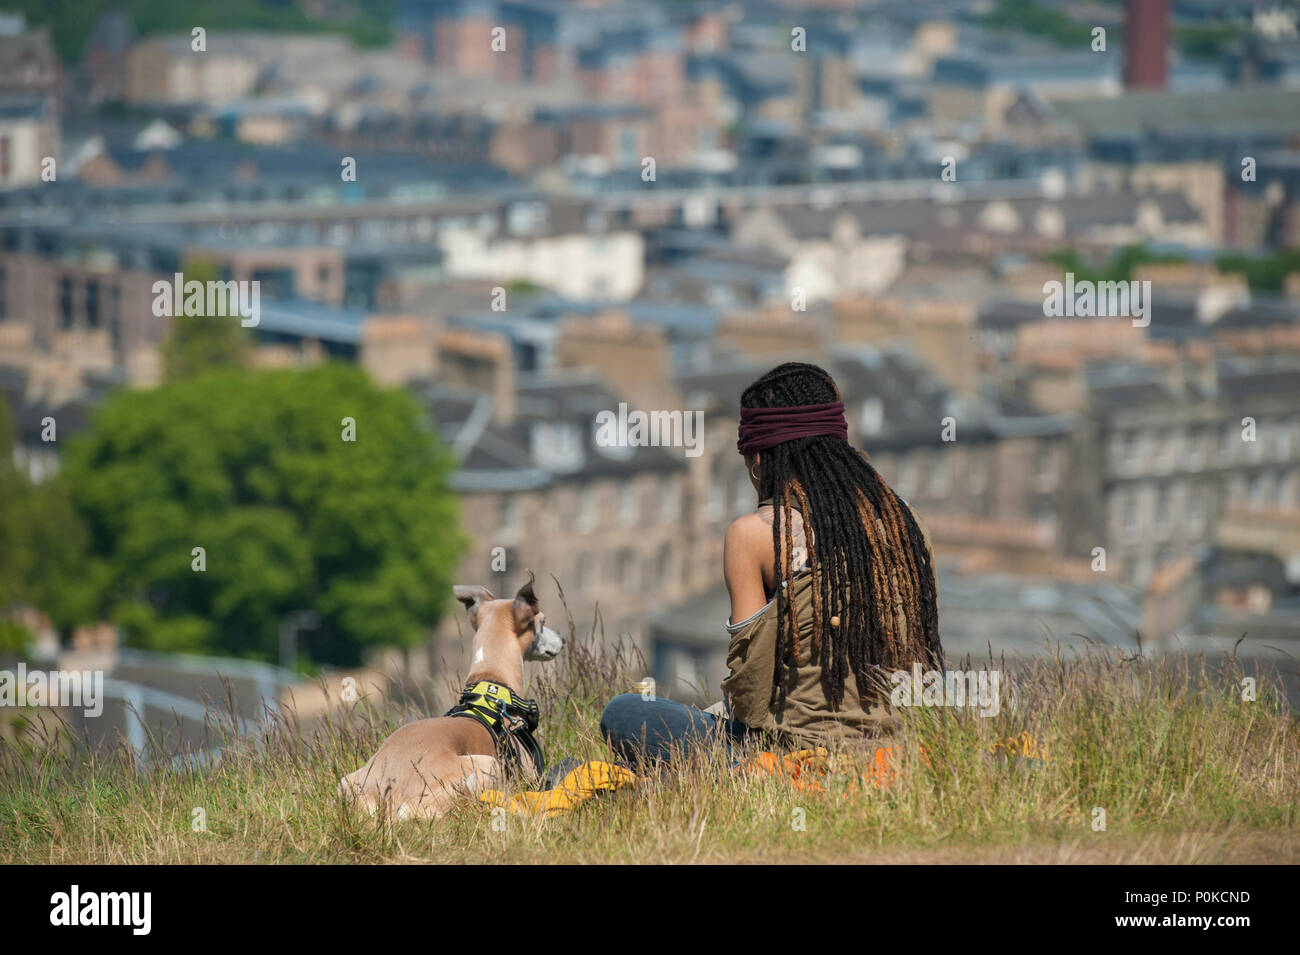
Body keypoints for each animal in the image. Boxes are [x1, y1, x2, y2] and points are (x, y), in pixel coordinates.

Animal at [335, 574, 564, 821]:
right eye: (542, 621)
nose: (562, 640)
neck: (491, 683)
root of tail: (390, 793)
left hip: (345, 782)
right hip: (487, 764)